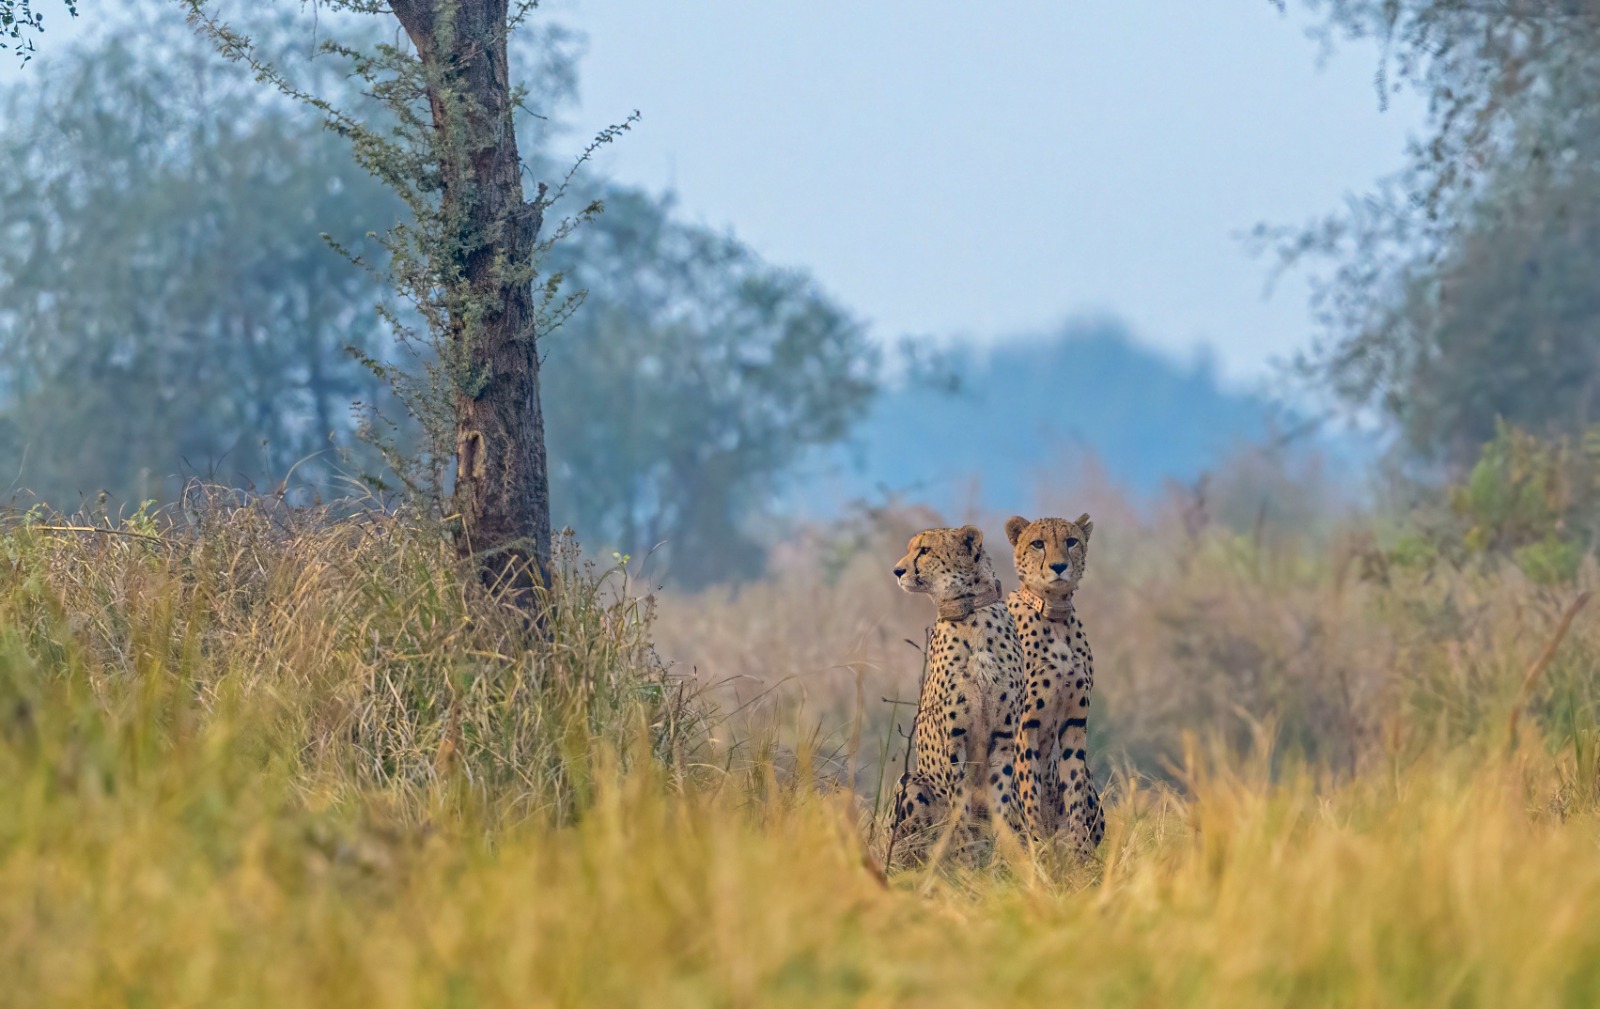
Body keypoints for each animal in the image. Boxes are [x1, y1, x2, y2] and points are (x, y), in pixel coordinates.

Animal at [883, 524, 1030, 850]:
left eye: (924, 550)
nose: (897, 570)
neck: (971, 615)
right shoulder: (953, 738)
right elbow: (959, 804)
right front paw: (966, 851)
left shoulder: (1003, 736)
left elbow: (999, 801)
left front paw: (1001, 852)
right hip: (912, 781)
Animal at [1004, 518, 1107, 857]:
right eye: (1038, 543)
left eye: (1071, 541)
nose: (1059, 566)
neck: (1055, 615)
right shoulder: (1025, 725)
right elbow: (1028, 790)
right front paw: (1037, 848)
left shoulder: (1075, 722)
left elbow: (1074, 785)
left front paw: (1079, 849)